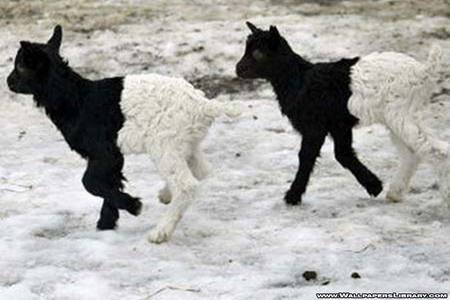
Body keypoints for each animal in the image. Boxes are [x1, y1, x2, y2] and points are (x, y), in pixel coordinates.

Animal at [7, 24, 239, 243]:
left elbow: (89, 183)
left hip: (164, 146)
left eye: (20, 66)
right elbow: (107, 183)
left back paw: (160, 232)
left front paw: (133, 205)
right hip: (185, 144)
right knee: (201, 171)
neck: (75, 98)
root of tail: (203, 104)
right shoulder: (112, 159)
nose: (8, 81)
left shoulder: (104, 153)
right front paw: (107, 222)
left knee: (187, 186)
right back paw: (166, 194)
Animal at [237, 22, 448, 207]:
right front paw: (375, 186)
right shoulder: (338, 124)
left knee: (435, 149)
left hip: (402, 114)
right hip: (399, 117)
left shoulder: (316, 126)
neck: (299, 80)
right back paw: (395, 193)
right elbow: (343, 154)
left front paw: (292, 196)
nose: (237, 69)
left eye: (258, 53)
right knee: (413, 153)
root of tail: (424, 72)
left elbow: (307, 156)